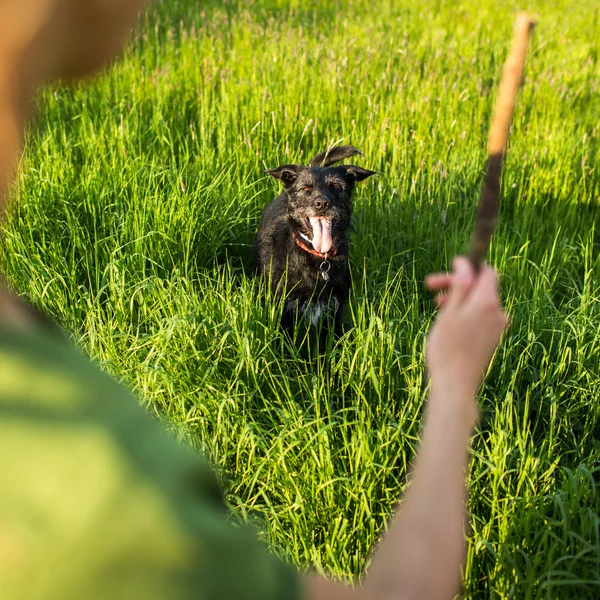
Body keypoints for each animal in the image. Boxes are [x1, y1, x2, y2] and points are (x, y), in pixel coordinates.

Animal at [253, 145, 376, 344]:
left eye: (336, 186)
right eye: (305, 187)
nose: (322, 203)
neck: (317, 258)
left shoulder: (334, 312)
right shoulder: (284, 311)